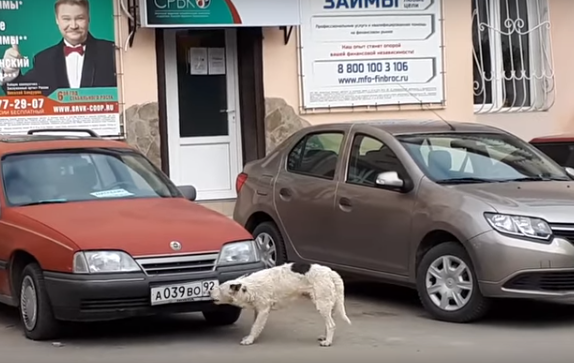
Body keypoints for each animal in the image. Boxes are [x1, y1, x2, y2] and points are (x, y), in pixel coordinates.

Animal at [210, 262, 352, 346]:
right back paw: (325, 337)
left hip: (322, 304)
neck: (249, 287)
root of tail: (329, 271)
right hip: (326, 304)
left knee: (331, 324)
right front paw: (251, 337)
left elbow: (255, 326)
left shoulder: (263, 310)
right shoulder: (258, 310)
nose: (210, 291)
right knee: (329, 323)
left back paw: (328, 342)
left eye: (220, 289)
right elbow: (255, 326)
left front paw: (249, 340)